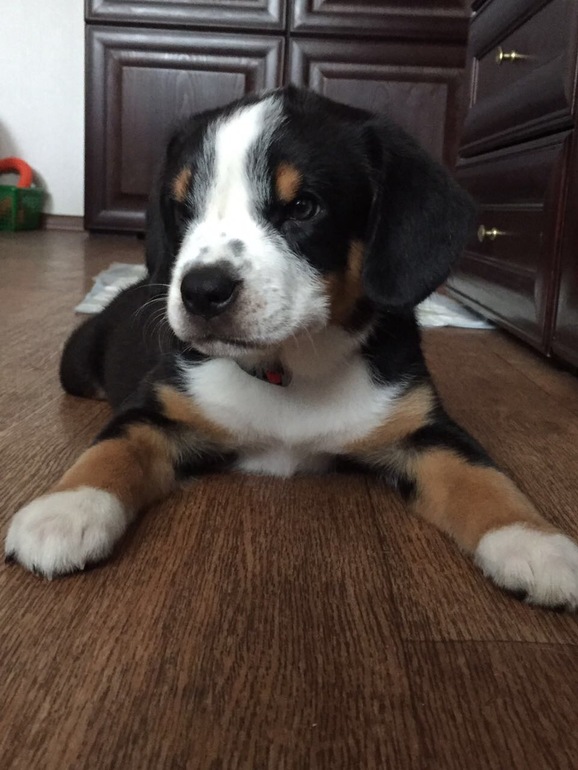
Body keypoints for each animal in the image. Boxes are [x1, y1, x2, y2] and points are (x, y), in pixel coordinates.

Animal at [5, 86, 578, 610]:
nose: (201, 291)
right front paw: (65, 510)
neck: (290, 371)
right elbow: (111, 448)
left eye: (303, 207)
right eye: (183, 208)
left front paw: (535, 542)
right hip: (76, 366)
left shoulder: (420, 424)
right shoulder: (158, 405)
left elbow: (481, 476)